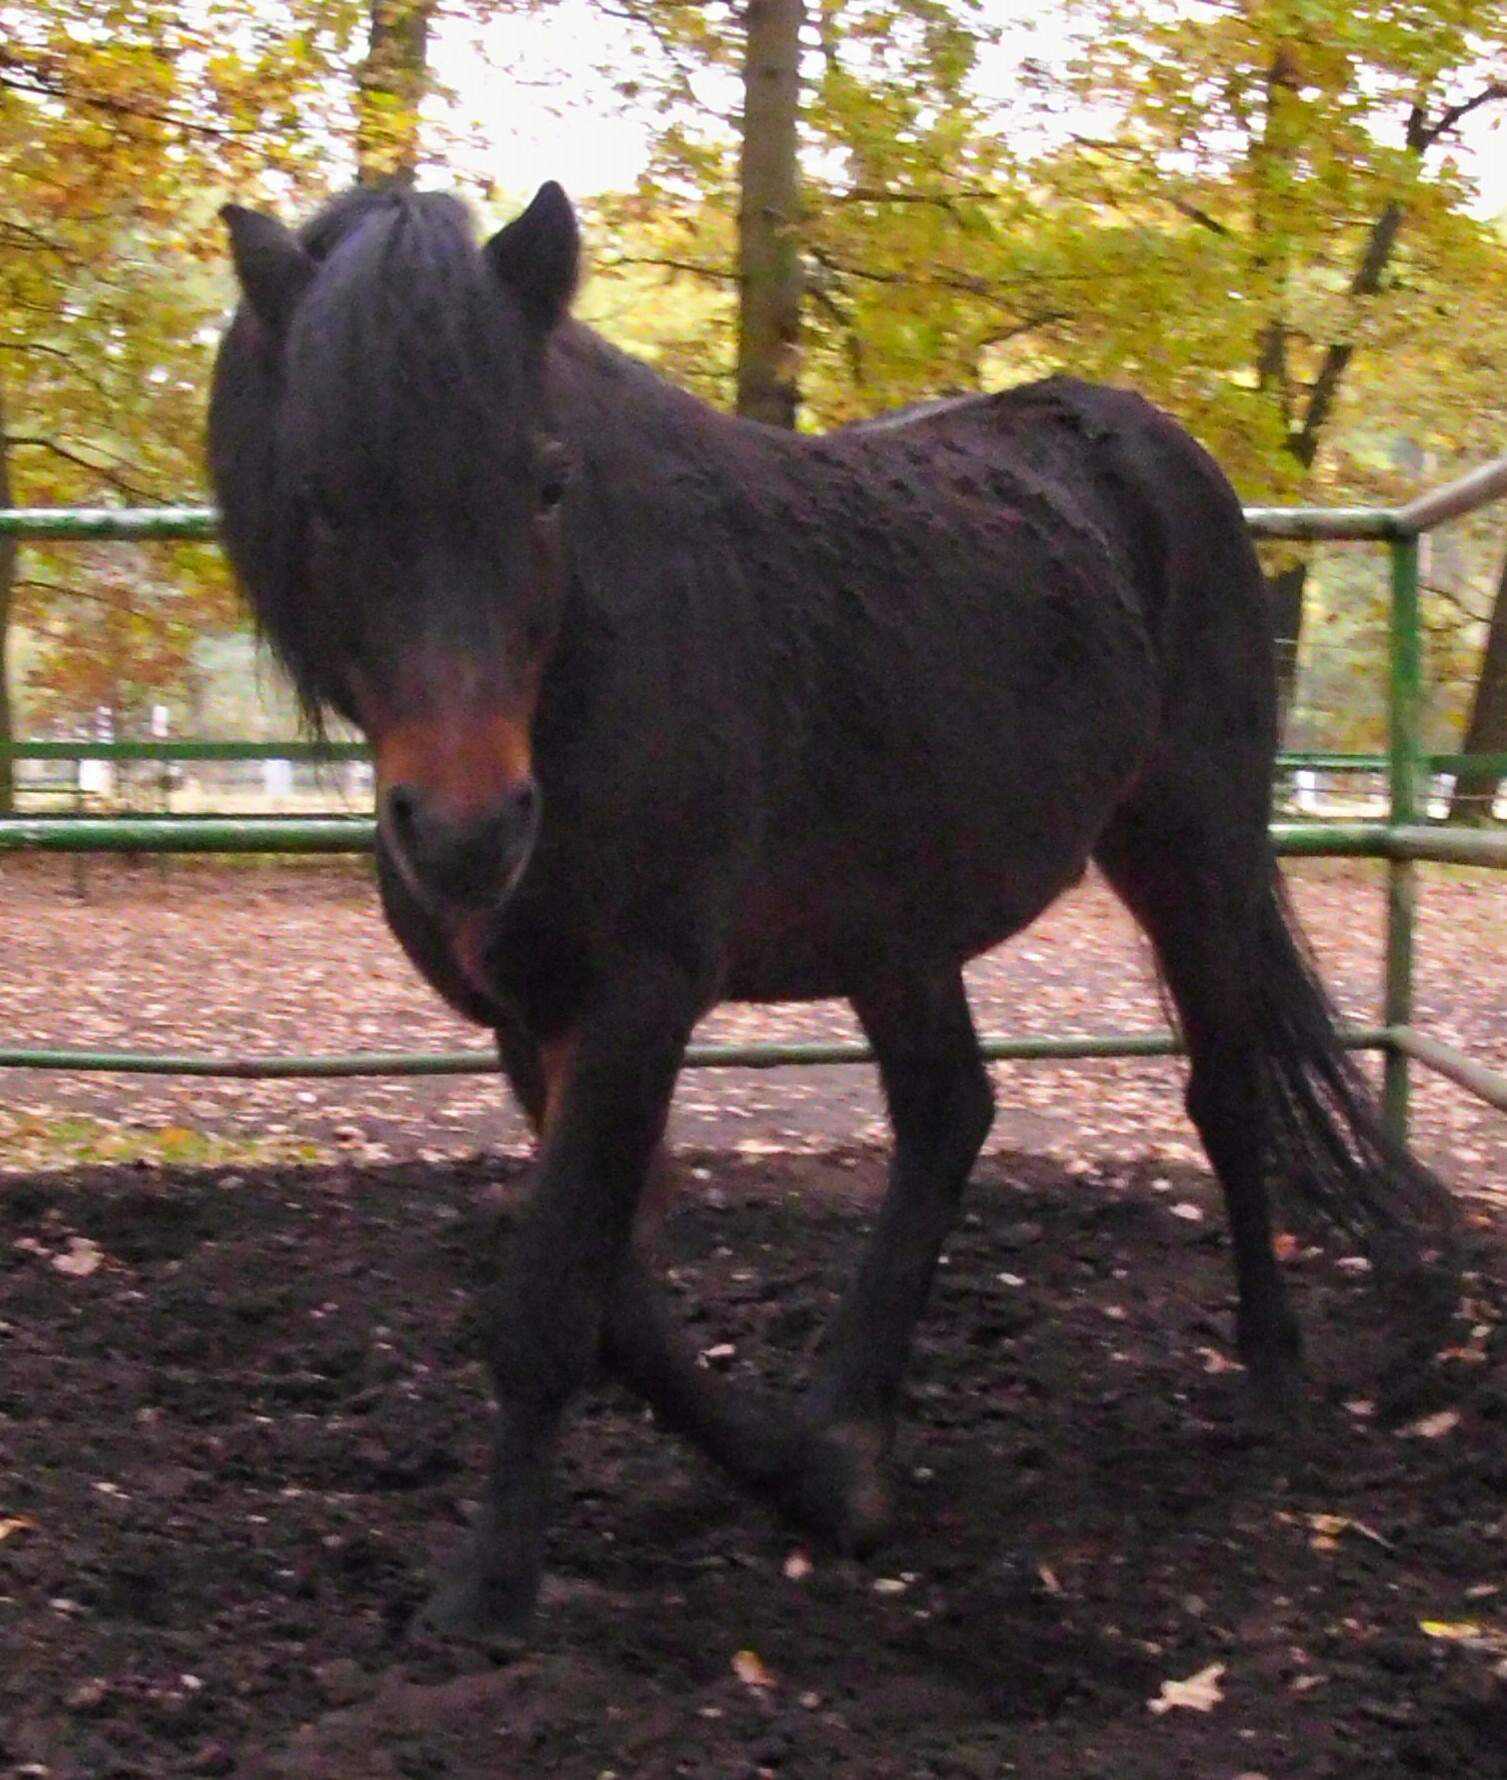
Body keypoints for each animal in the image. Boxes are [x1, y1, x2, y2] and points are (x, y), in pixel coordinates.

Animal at [208, 181, 1455, 1639]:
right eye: (320, 501)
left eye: (546, 484)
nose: (468, 834)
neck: (592, 666)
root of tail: (1158, 451)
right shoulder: (535, 1020)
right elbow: (619, 1308)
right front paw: (813, 1479)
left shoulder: (639, 999)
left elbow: (552, 1300)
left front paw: (486, 1596)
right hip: (899, 923)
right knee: (947, 1115)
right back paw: (849, 1415)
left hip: (1187, 848)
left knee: (1222, 1093)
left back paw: (1268, 1378)